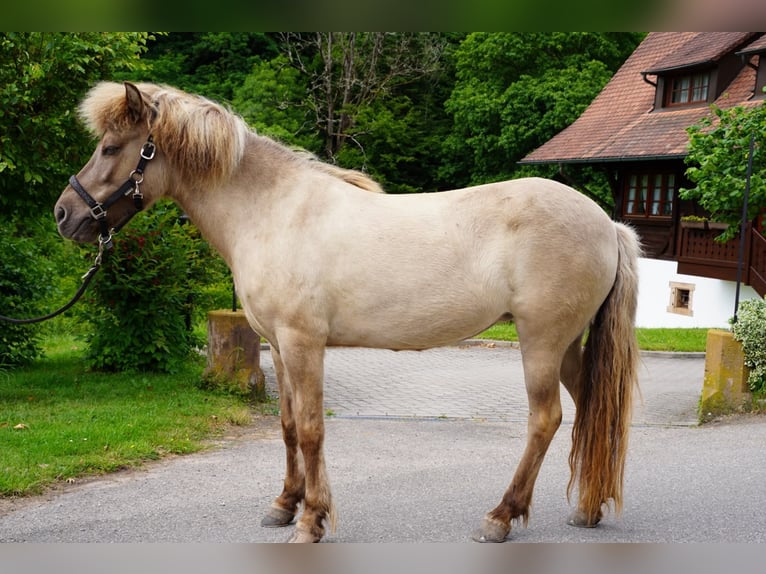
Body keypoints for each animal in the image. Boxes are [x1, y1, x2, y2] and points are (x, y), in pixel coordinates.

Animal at [54, 81, 642, 543]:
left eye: (111, 147)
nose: (64, 214)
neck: (273, 211)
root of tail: (606, 224)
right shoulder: (279, 347)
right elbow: (290, 426)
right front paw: (284, 505)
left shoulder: (303, 343)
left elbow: (313, 430)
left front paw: (312, 521)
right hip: (566, 346)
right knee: (591, 408)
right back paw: (587, 509)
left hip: (541, 341)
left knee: (546, 419)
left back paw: (500, 517)